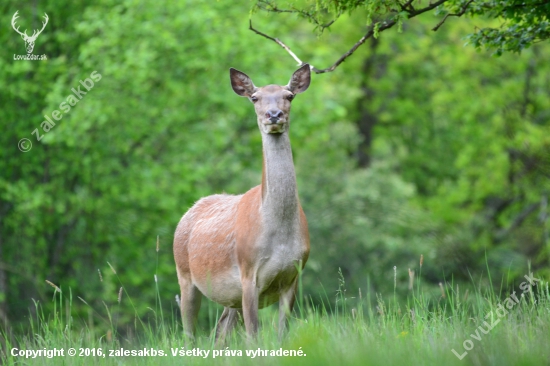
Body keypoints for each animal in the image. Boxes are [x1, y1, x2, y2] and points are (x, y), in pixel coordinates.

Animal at [175, 64, 312, 342]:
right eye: (255, 98)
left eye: (289, 95)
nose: (274, 115)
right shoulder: (248, 274)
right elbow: (253, 336)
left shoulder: (293, 276)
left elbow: (282, 334)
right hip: (184, 275)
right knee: (189, 334)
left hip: (230, 299)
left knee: (220, 334)